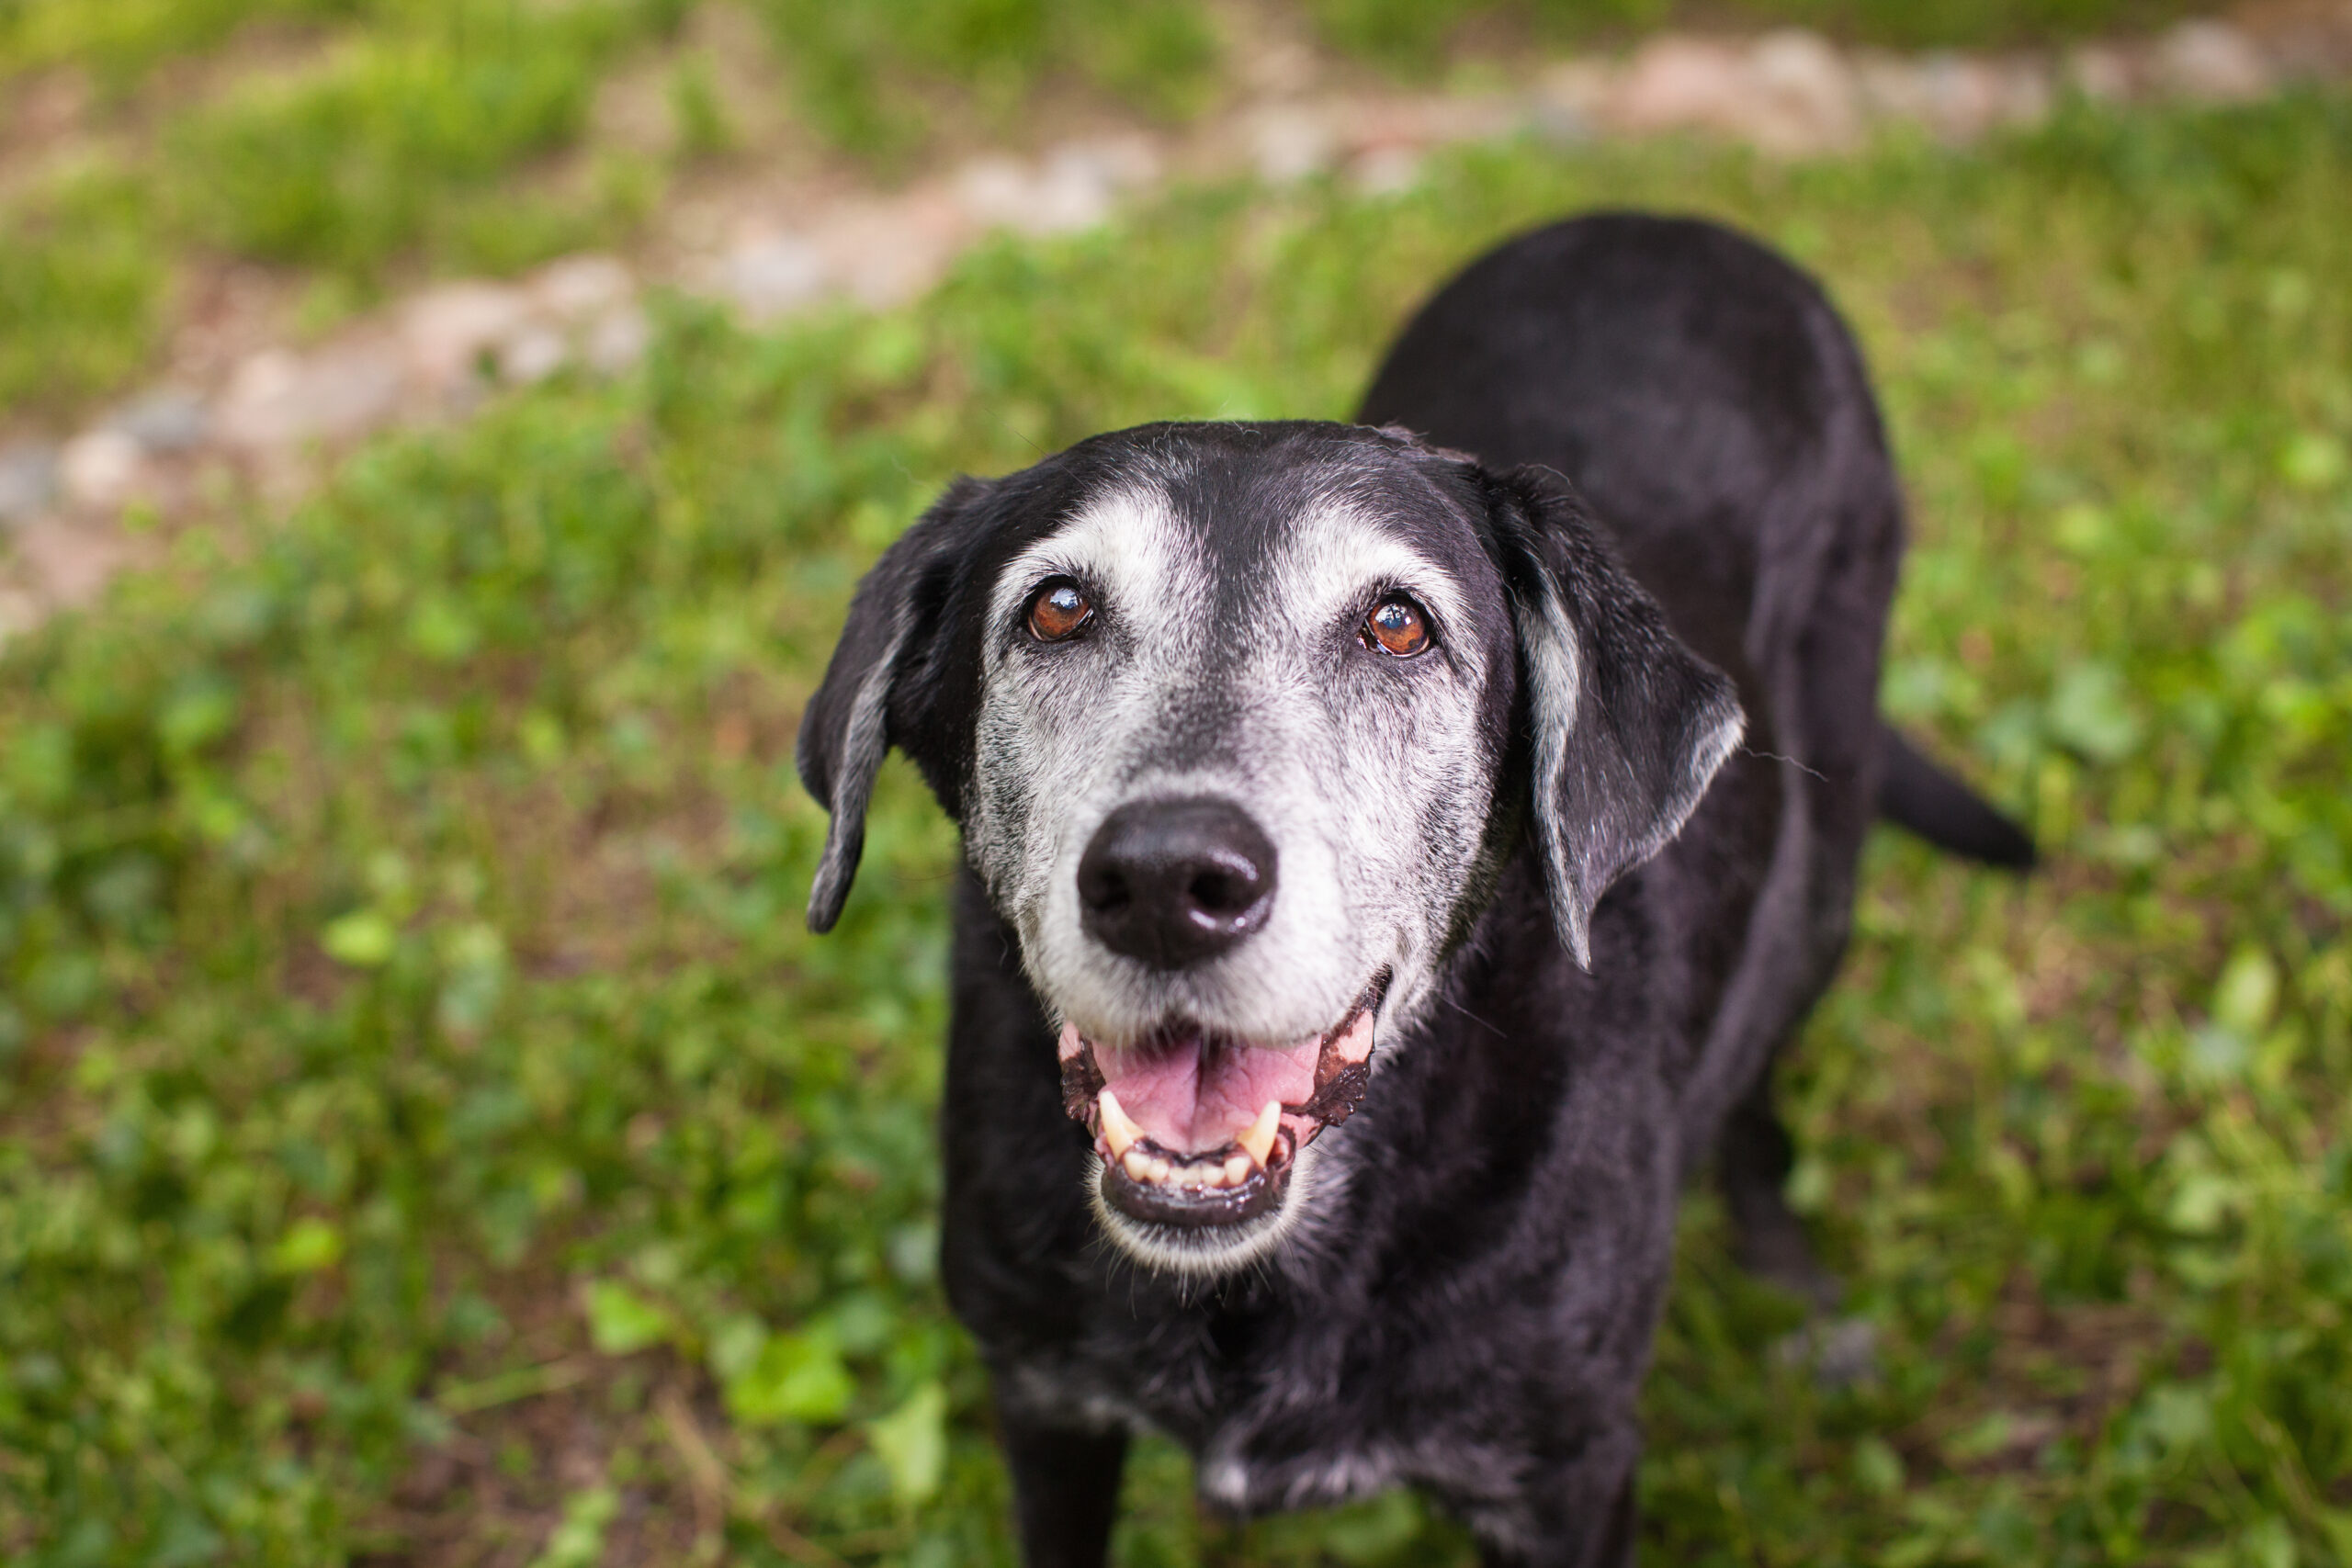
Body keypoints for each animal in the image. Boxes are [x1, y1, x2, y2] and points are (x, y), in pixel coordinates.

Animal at [799, 211, 2031, 1568]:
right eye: (1058, 609)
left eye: (1396, 625)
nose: (1169, 880)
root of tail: (1664, 222)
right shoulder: (1046, 1400)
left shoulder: (1564, 1474)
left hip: (1821, 873)